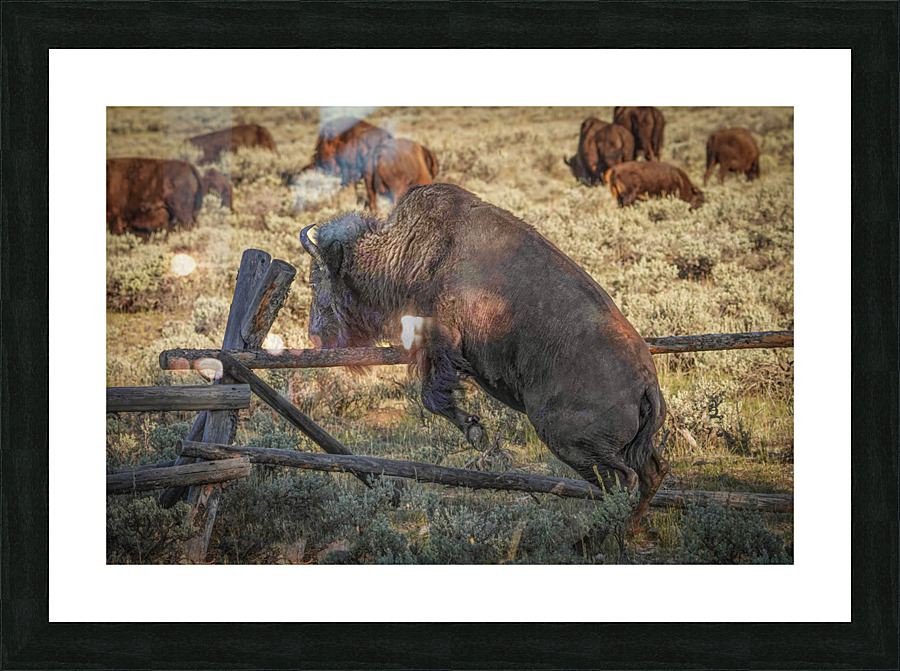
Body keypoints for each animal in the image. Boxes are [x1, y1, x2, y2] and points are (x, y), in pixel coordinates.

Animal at [300, 183, 668, 526]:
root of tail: (646, 384)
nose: (315, 337)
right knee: (651, 473)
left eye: (316, 282)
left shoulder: (440, 343)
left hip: (570, 443)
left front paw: (475, 430)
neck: (409, 251)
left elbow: (432, 397)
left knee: (622, 480)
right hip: (621, 449)